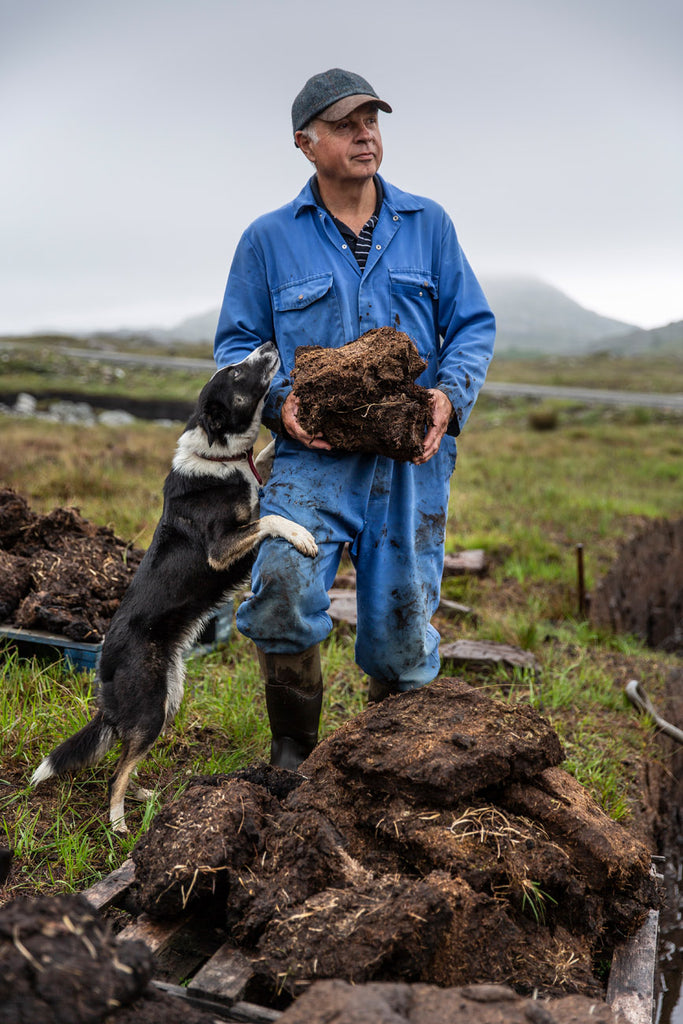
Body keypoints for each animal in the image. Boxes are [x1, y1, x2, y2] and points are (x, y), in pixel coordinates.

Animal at [31, 344, 317, 831]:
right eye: (236, 373)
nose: (268, 346)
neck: (219, 459)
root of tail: (103, 664)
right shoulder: (221, 547)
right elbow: (271, 518)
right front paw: (301, 535)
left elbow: (264, 459)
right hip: (150, 708)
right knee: (116, 773)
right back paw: (119, 825)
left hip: (167, 701)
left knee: (125, 759)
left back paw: (141, 794)